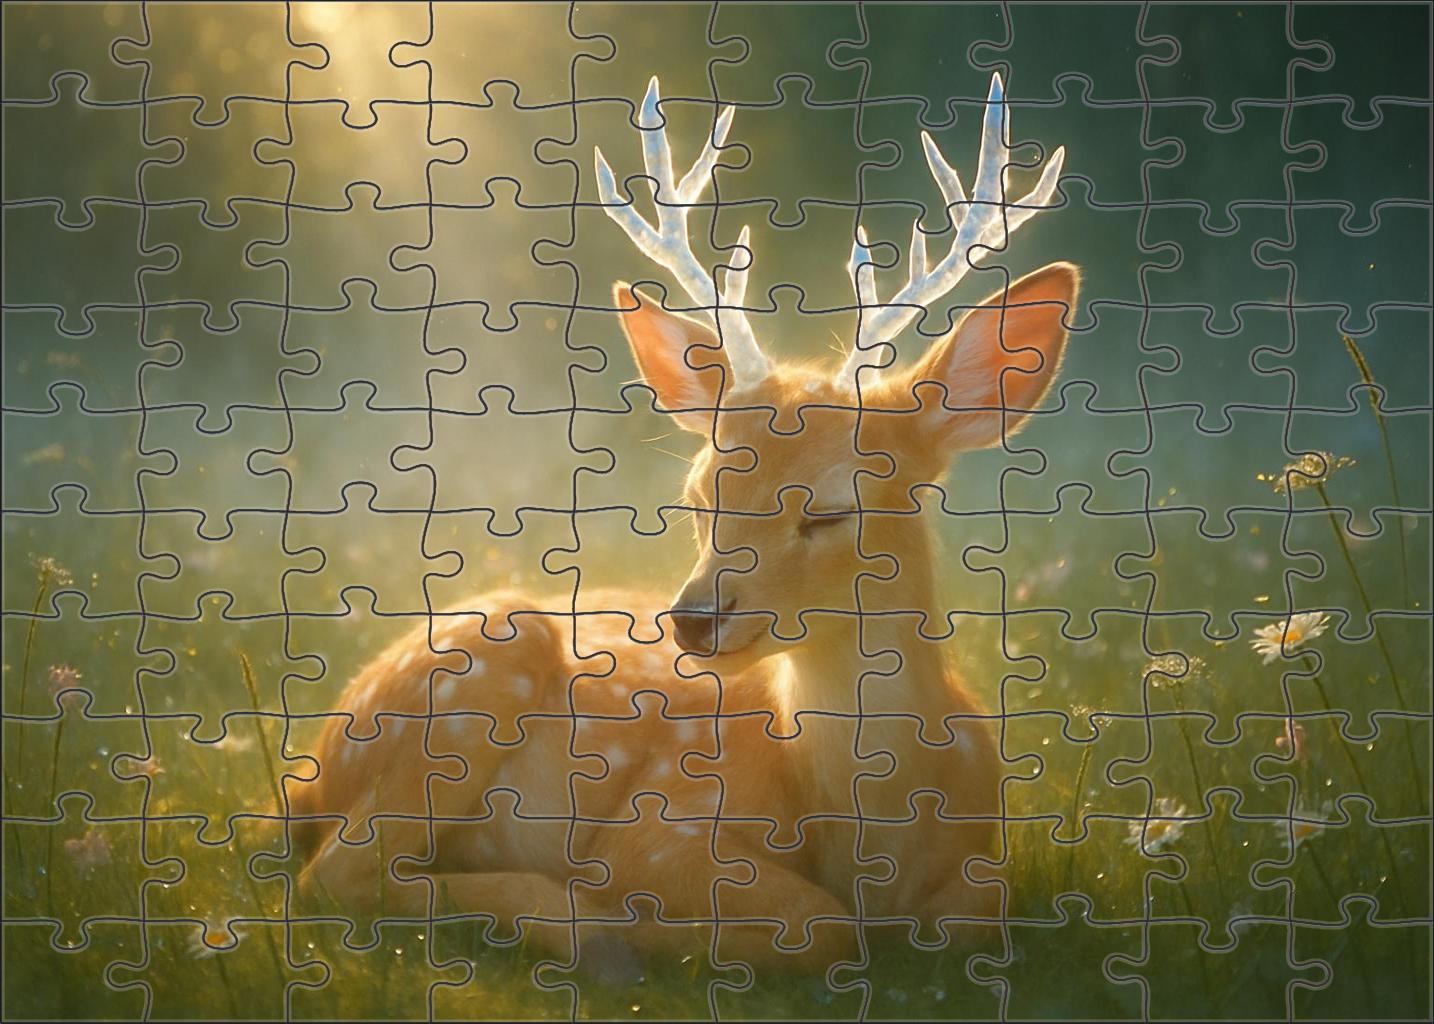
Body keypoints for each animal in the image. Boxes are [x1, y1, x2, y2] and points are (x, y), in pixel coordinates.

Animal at [285, 72, 1077, 983]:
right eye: (700, 494)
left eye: (834, 506)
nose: (694, 619)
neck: (878, 830)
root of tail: (309, 767)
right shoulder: (662, 825)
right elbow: (819, 923)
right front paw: (645, 929)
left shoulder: (984, 868)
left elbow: (976, 911)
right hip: (475, 673)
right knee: (338, 873)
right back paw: (588, 933)